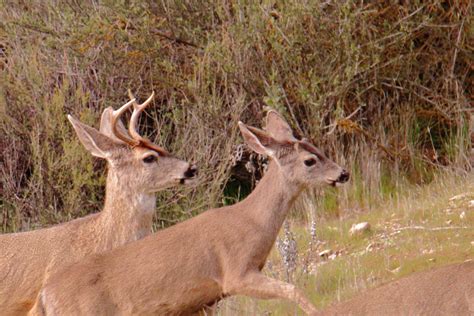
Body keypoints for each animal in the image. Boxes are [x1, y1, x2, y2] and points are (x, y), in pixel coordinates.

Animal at [29, 110, 348, 314]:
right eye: (309, 160)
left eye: (318, 148)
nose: (343, 173)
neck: (253, 222)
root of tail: (44, 296)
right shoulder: (236, 272)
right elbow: (295, 290)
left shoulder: (206, 300)